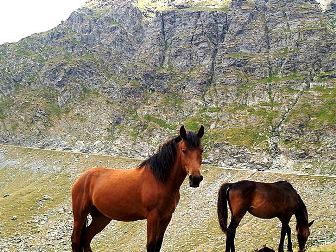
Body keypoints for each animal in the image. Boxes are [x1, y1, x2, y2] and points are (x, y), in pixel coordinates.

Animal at [71, 125, 205, 251]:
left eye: (201, 150)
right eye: (184, 150)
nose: (195, 178)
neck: (160, 180)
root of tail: (83, 177)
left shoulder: (166, 217)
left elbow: (158, 245)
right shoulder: (153, 217)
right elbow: (151, 245)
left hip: (101, 218)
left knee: (86, 239)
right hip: (80, 216)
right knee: (76, 241)